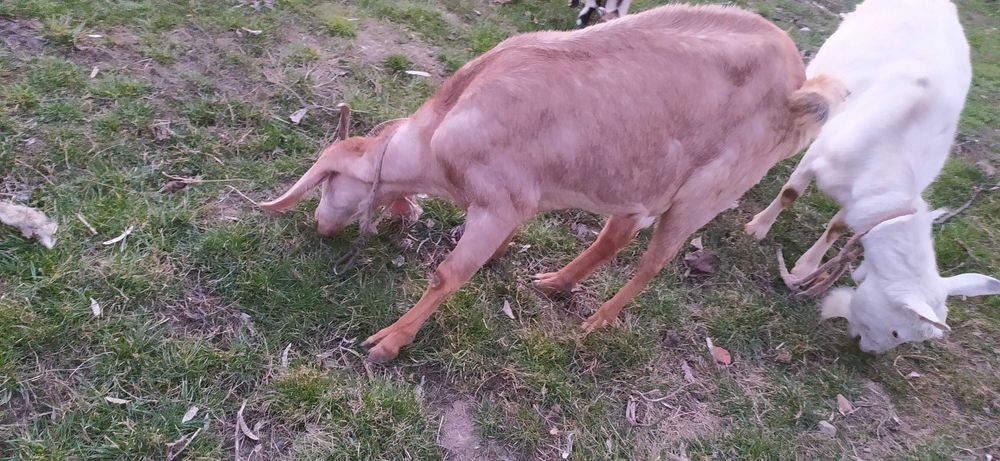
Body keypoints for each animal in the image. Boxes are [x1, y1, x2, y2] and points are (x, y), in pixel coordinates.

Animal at [261, 5, 845, 363]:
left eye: (328, 183)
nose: (320, 226)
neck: (443, 131)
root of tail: (801, 88)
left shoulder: (500, 199)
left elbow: (446, 275)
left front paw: (388, 342)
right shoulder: (525, 198)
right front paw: (500, 258)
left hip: (707, 191)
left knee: (653, 261)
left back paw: (598, 322)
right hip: (638, 179)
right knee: (617, 234)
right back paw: (556, 283)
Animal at [744, 0, 999, 353]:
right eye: (896, 332)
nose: (866, 350)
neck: (894, 152)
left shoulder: (859, 198)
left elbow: (838, 227)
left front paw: (807, 266)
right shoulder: (820, 152)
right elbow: (790, 193)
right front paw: (757, 228)